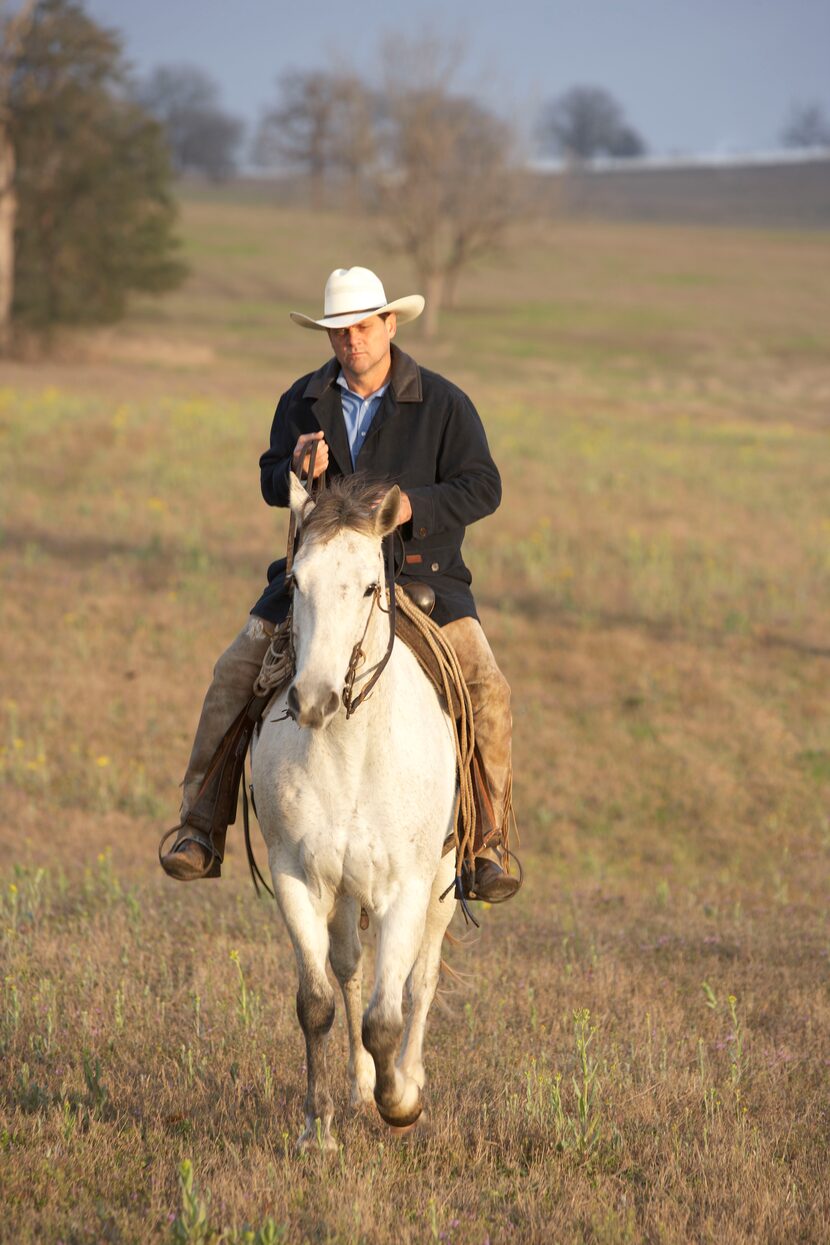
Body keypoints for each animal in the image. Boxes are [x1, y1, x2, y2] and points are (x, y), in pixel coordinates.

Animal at [255, 473, 460, 1145]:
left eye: (371, 585)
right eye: (296, 581)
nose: (313, 698)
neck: (351, 751)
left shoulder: (407, 888)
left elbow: (386, 1018)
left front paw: (402, 1103)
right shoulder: (297, 876)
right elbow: (316, 1002)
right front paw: (317, 1127)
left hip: (444, 882)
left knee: (422, 980)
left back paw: (405, 1081)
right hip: (343, 891)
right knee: (347, 969)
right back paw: (359, 1087)